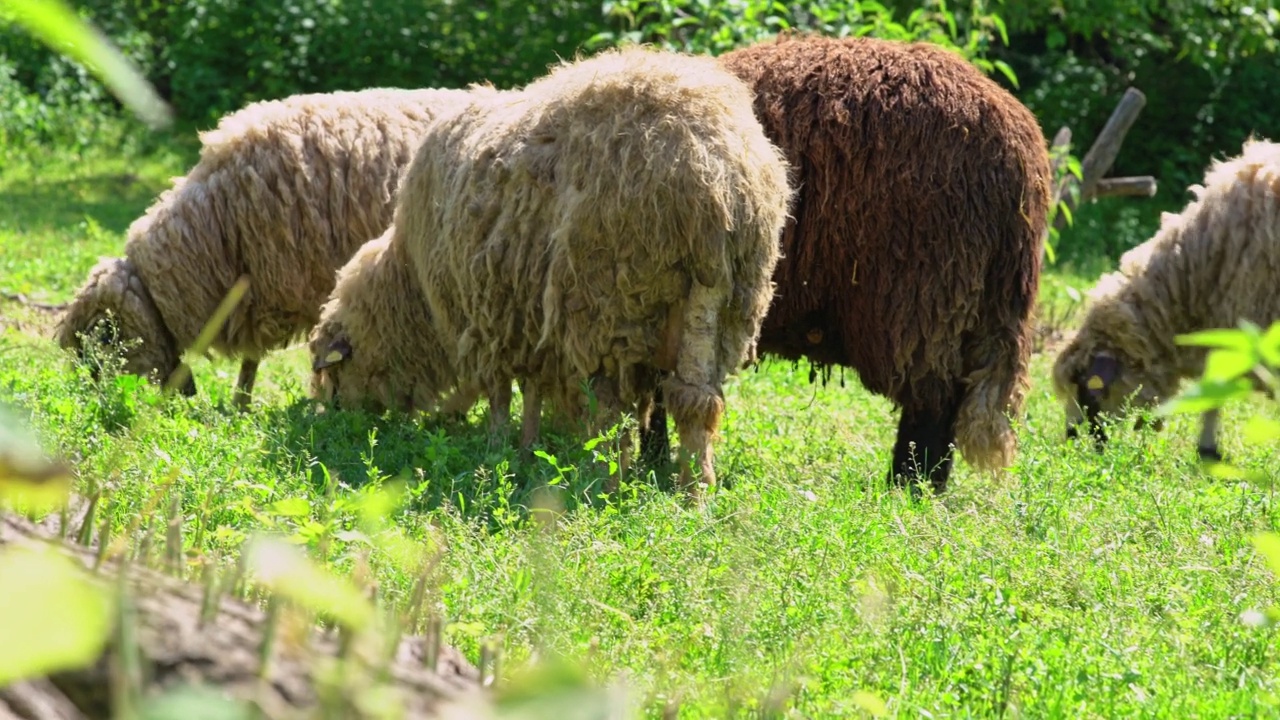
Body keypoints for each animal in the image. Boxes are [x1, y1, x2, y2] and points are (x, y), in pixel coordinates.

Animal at [307, 44, 788, 491]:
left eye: (334, 371)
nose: (336, 423)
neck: (411, 287)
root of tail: (712, 171)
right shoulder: (525, 319)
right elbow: (533, 388)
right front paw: (528, 446)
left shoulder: (484, 320)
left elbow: (500, 393)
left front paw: (498, 447)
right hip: (720, 298)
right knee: (695, 400)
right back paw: (695, 492)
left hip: (607, 304)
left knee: (610, 408)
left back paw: (605, 482)